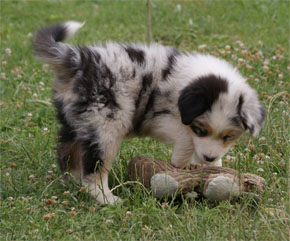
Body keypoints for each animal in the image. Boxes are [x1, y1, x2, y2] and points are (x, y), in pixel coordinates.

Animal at [32, 21, 266, 204]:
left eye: (229, 137)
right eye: (201, 130)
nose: (209, 158)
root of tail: (79, 60)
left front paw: (214, 167)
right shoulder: (161, 117)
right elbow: (185, 140)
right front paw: (182, 164)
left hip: (75, 121)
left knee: (66, 151)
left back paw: (72, 181)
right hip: (107, 124)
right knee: (94, 171)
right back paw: (108, 199)